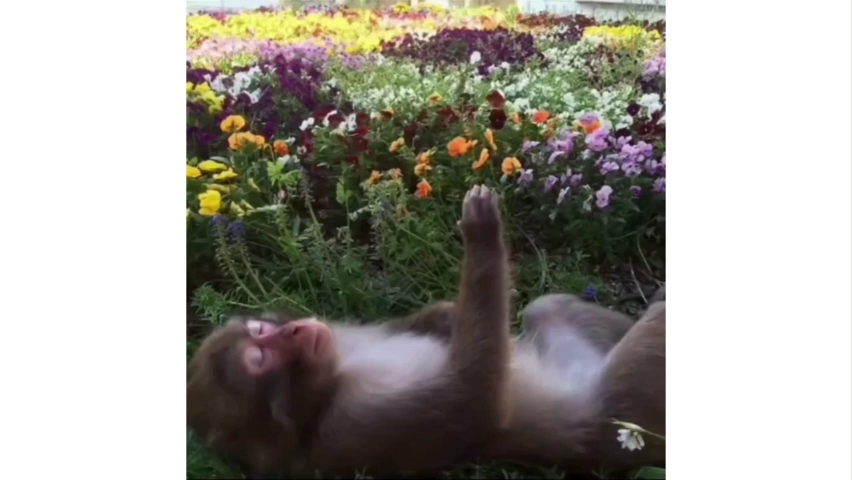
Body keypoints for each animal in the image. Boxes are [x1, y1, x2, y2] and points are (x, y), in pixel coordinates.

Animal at [186, 185, 513, 478]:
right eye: (261, 358)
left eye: (260, 329)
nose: (294, 330)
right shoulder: (353, 424)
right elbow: (476, 398)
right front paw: (481, 233)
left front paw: (448, 316)